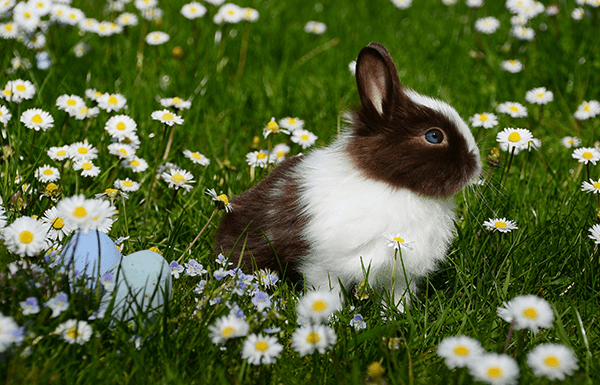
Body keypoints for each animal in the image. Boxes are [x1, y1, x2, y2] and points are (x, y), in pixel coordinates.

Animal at [213, 42, 480, 310]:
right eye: (434, 136)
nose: (475, 164)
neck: (392, 185)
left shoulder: (401, 274)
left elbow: (397, 297)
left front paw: (396, 314)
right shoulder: (323, 265)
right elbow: (326, 292)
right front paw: (329, 314)